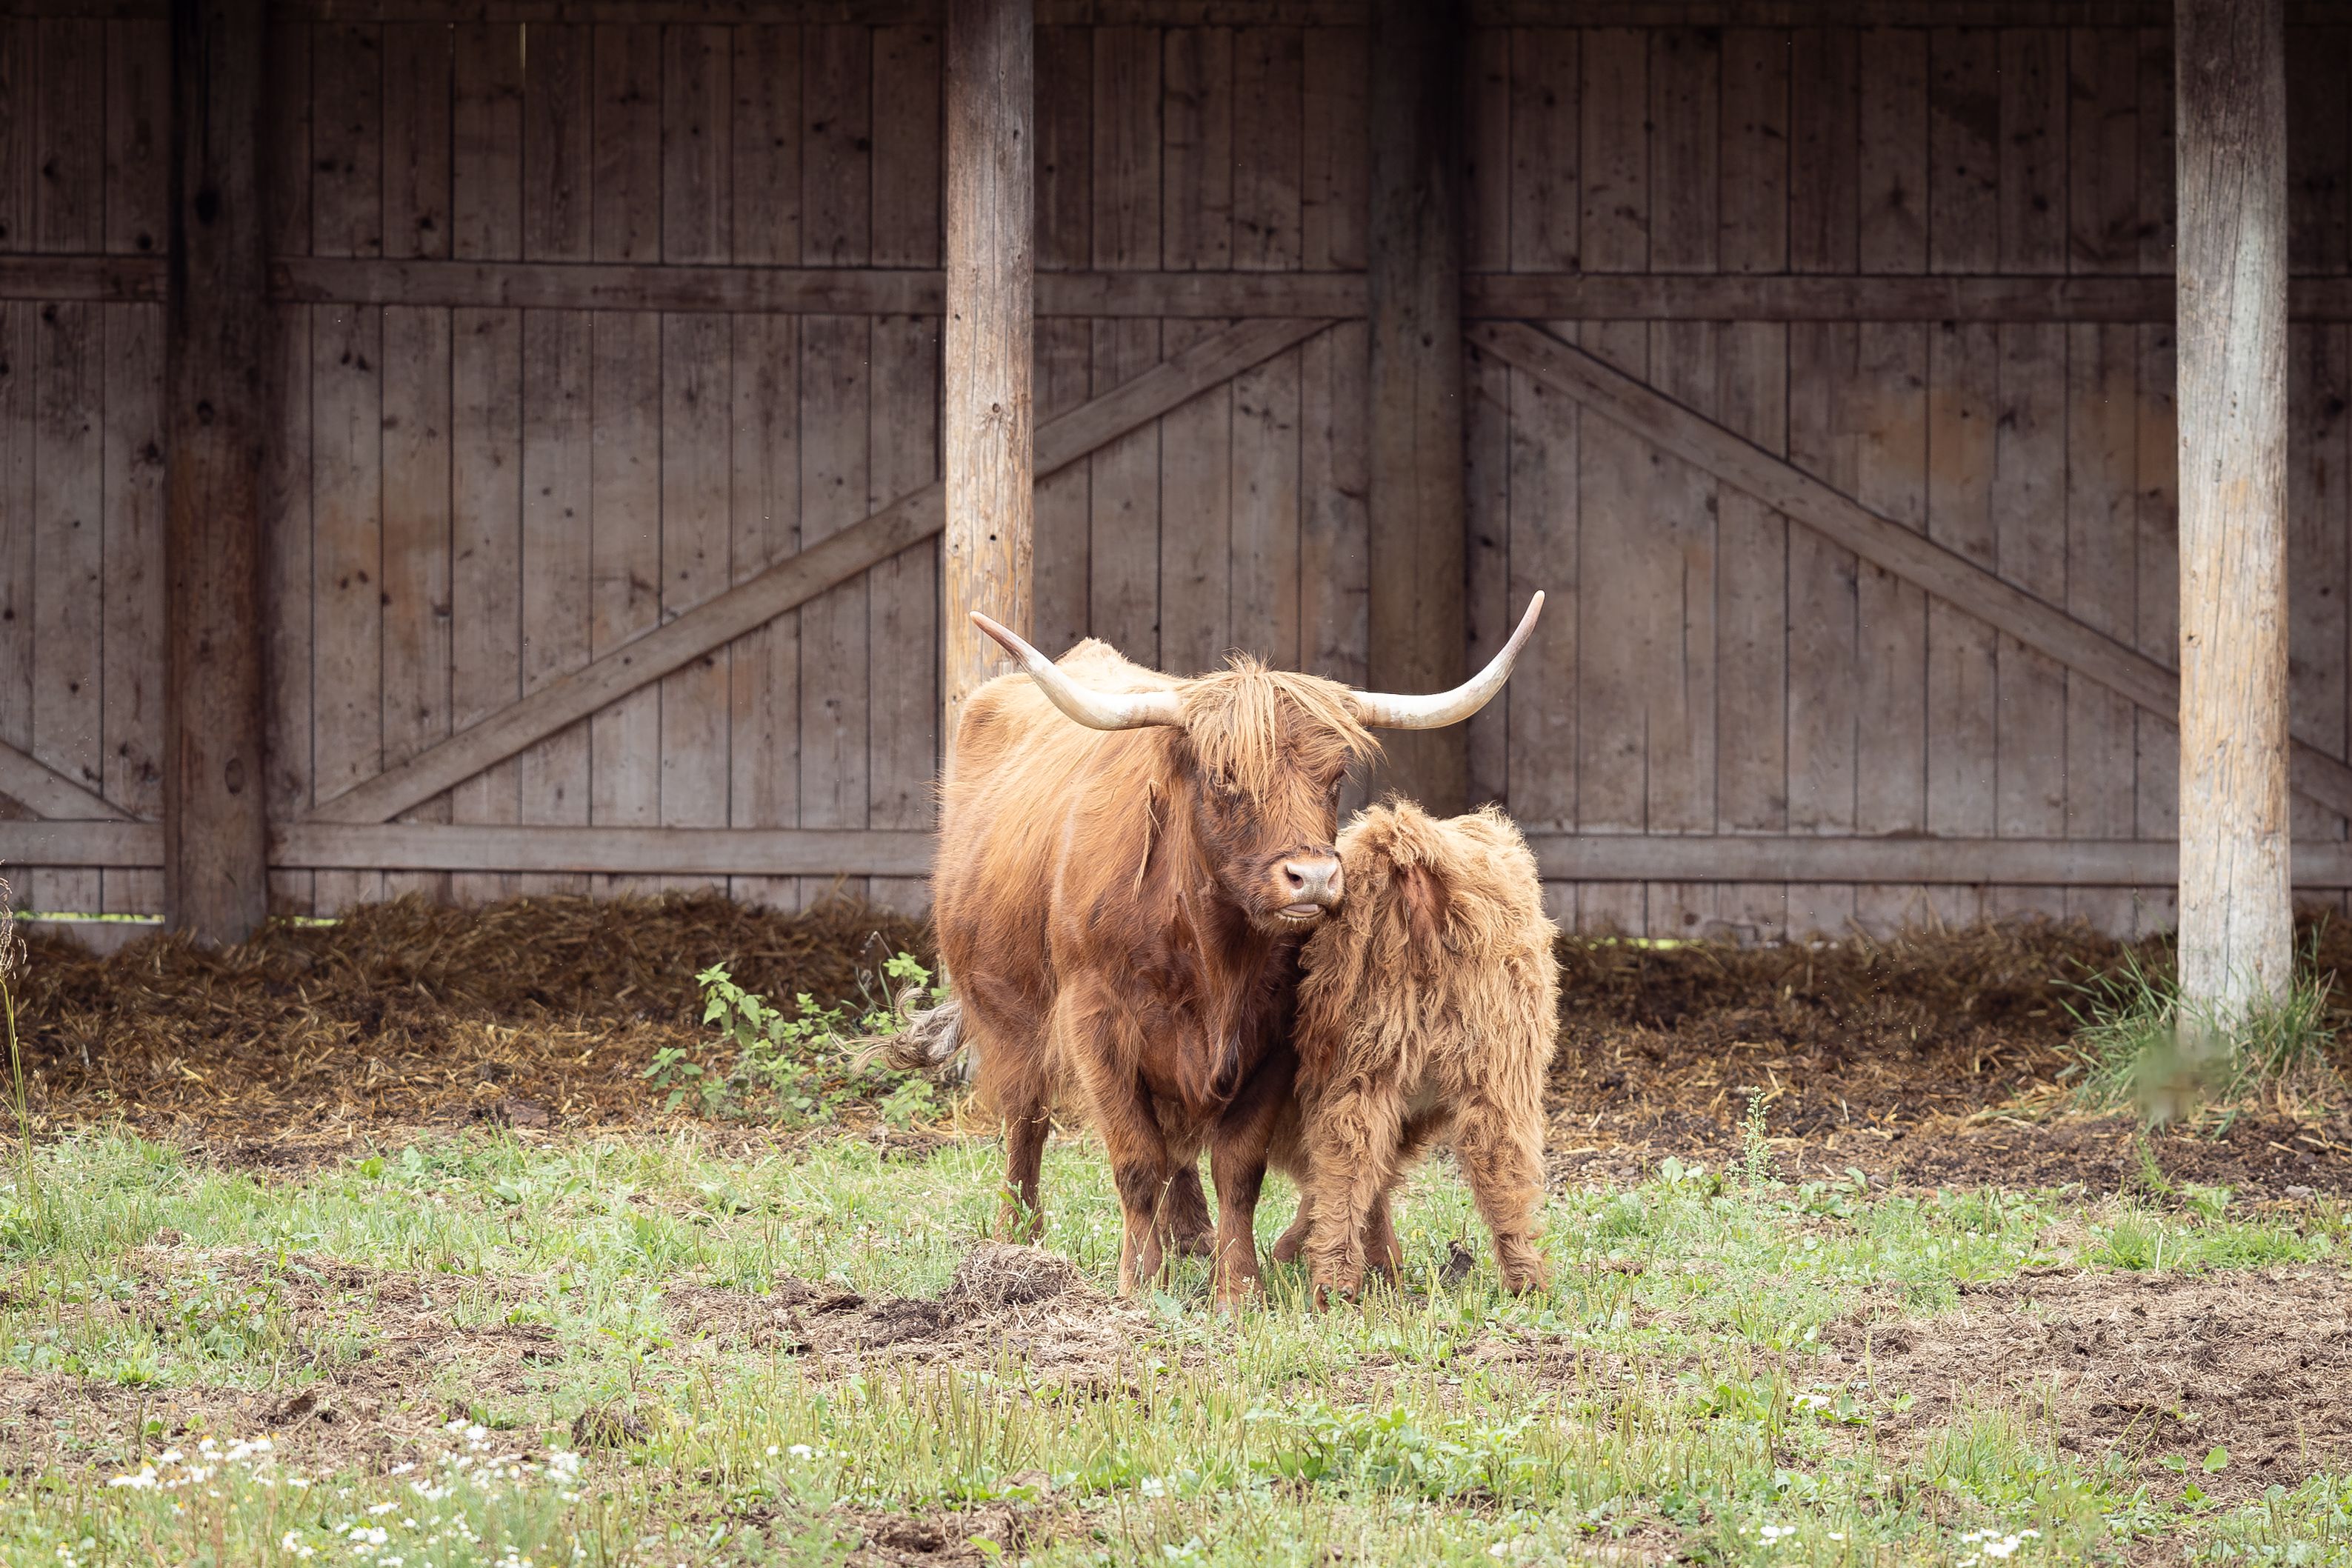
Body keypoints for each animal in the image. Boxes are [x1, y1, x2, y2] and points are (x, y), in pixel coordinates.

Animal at [1267, 801, 1561, 1301]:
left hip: (1378, 1066)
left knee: (1351, 1161)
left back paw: (1335, 1283)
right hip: (1490, 1071)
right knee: (1497, 1167)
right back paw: (1527, 1282)